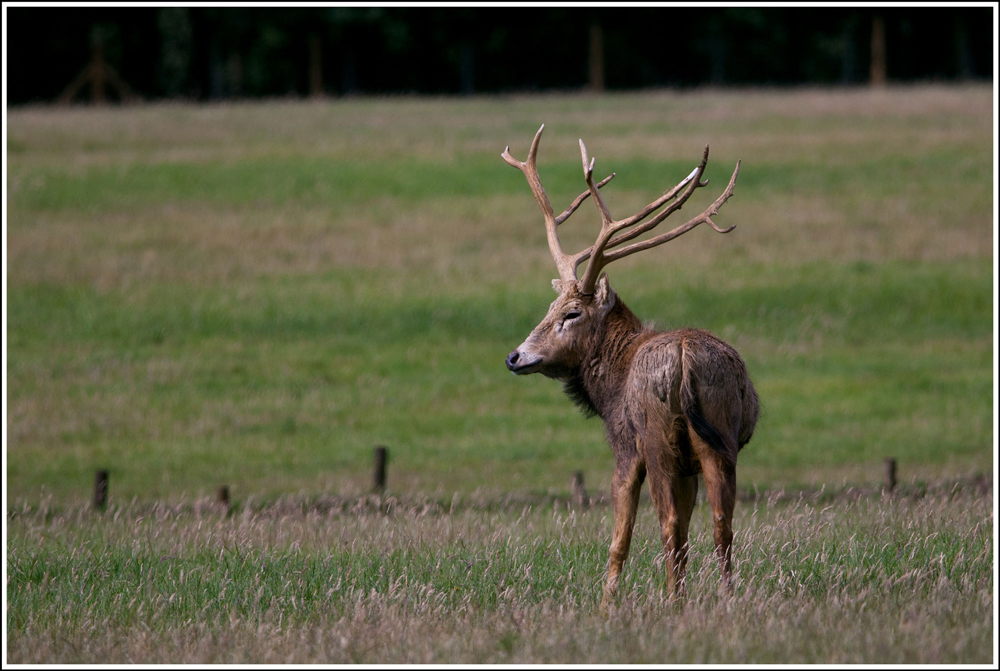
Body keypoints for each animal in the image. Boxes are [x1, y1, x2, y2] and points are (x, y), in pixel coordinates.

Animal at [502, 125, 759, 609]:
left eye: (571, 313)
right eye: (549, 307)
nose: (516, 356)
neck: (609, 387)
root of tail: (684, 355)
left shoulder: (624, 444)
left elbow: (620, 537)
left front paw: (605, 605)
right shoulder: (691, 463)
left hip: (657, 438)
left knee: (669, 524)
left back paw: (672, 602)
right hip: (718, 434)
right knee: (721, 523)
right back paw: (725, 598)